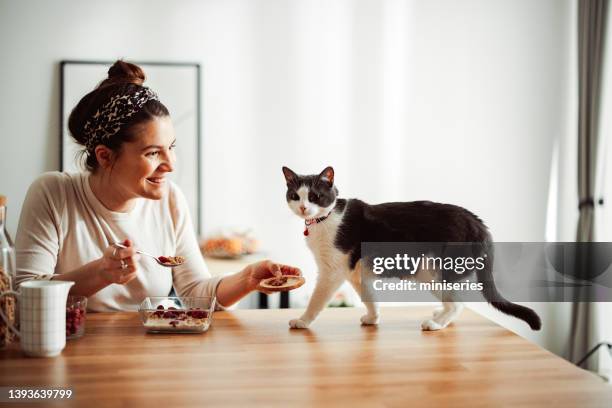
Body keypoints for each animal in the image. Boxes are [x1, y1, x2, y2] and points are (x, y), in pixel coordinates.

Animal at [282, 166, 540, 332]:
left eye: (315, 196)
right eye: (295, 195)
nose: (303, 208)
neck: (324, 219)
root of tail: (480, 226)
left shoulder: (332, 272)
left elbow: (316, 300)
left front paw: (303, 321)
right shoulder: (354, 273)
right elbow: (369, 297)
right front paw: (373, 318)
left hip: (430, 270)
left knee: (459, 303)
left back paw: (436, 324)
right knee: (454, 300)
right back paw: (439, 314)